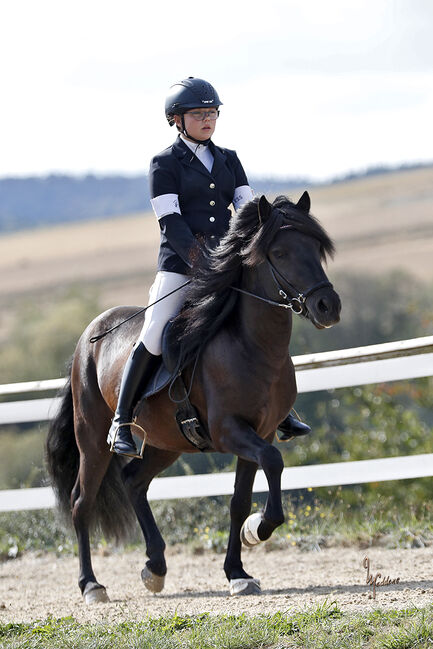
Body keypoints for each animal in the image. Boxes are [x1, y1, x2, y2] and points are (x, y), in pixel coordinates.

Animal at [45, 192, 340, 604]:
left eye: (316, 247)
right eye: (279, 252)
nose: (329, 306)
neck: (253, 346)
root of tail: (89, 334)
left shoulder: (260, 432)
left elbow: (239, 500)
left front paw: (238, 570)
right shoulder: (230, 431)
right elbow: (273, 461)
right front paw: (258, 529)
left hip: (166, 442)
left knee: (134, 481)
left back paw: (155, 567)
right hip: (92, 440)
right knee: (81, 501)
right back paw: (91, 585)